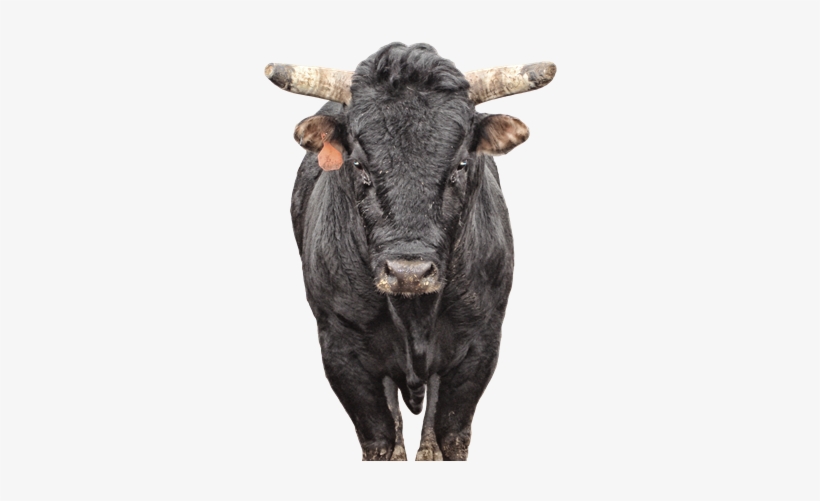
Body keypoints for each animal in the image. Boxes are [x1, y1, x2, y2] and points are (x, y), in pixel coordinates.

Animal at [264, 43, 555, 461]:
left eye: (461, 164)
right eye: (358, 164)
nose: (408, 273)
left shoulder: (480, 345)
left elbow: (451, 431)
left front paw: (435, 448)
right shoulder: (341, 349)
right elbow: (380, 438)